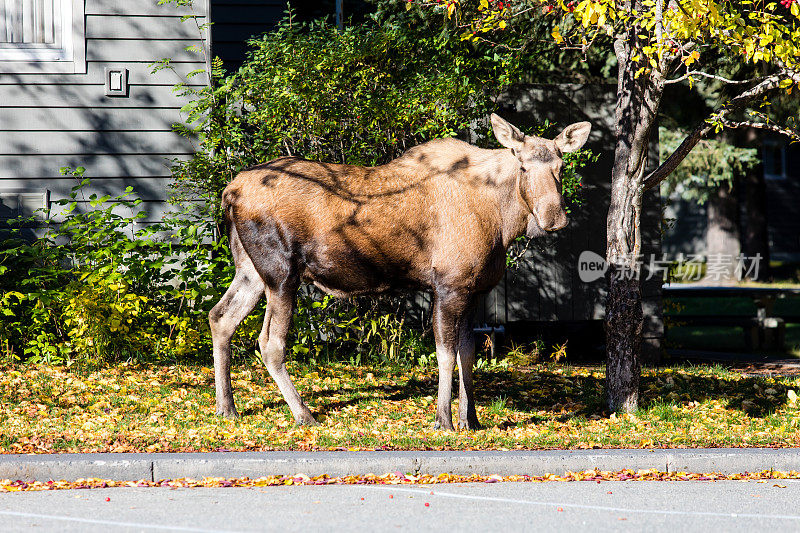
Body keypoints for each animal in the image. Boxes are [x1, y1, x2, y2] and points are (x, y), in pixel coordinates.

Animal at [209, 114, 592, 430]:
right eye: (523, 167)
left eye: (561, 166)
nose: (553, 217)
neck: (502, 221)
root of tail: (229, 192)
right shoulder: (448, 285)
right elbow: (445, 353)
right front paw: (444, 420)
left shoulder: (474, 290)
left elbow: (468, 353)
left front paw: (471, 420)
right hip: (281, 273)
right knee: (270, 342)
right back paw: (303, 413)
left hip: (250, 270)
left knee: (220, 317)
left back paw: (227, 407)